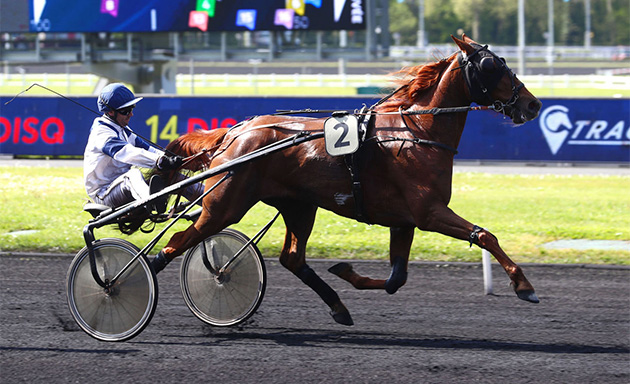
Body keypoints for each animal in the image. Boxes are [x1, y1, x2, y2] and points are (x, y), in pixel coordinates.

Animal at [157, 36, 544, 326]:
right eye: (492, 65)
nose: (533, 104)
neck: (417, 131)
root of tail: (235, 133)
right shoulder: (429, 213)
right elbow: (485, 235)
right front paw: (524, 285)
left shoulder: (404, 220)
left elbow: (396, 279)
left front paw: (346, 271)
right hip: (225, 205)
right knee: (177, 241)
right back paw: (146, 277)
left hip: (299, 206)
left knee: (292, 259)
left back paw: (338, 306)